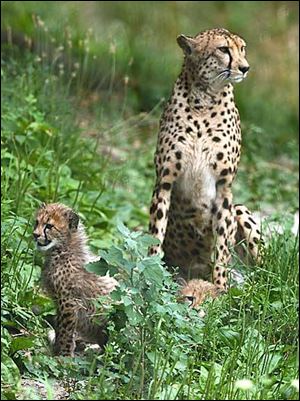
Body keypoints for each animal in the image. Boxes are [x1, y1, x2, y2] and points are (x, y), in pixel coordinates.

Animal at [32, 203, 117, 356]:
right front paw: (56, 350)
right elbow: (59, 327)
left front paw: (64, 356)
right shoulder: (59, 301)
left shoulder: (68, 302)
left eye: (49, 226)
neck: (62, 249)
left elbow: (65, 331)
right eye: (37, 222)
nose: (35, 235)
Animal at [149, 28, 262, 290]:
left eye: (242, 48)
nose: (245, 68)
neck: (204, 100)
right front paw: (146, 273)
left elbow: (222, 246)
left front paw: (220, 288)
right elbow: (154, 235)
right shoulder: (164, 182)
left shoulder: (224, 189)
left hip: (241, 210)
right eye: (223, 49)